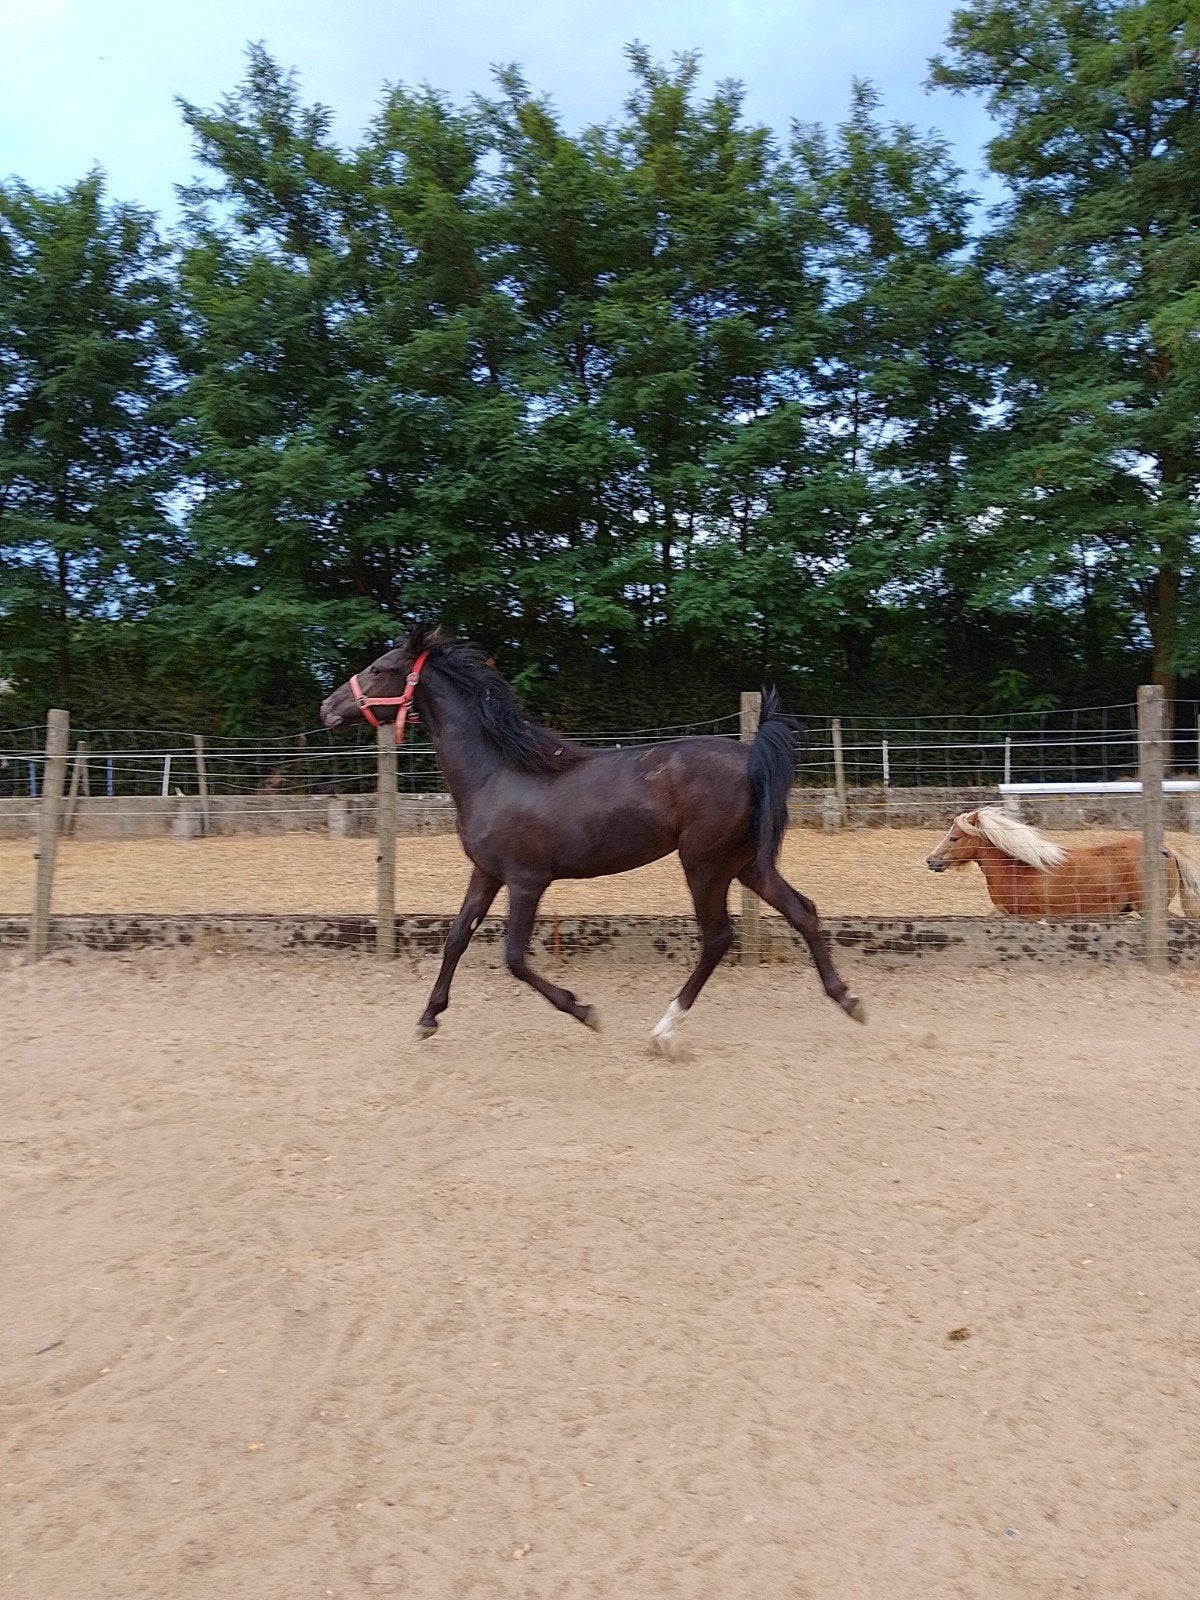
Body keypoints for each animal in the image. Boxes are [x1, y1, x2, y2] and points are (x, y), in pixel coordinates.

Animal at [319, 626, 865, 1051]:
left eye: (379, 667)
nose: (327, 707)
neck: (496, 773)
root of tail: (751, 756)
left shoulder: (526, 881)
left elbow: (513, 958)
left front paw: (585, 1012)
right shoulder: (487, 873)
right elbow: (455, 940)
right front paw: (427, 1019)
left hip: (704, 864)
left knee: (718, 938)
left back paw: (664, 1030)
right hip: (745, 863)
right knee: (803, 911)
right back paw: (850, 1001)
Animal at [926, 806, 1200, 918]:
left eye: (954, 837)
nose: (931, 861)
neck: (1019, 871)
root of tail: (1167, 850)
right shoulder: (1003, 912)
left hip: (1149, 908)